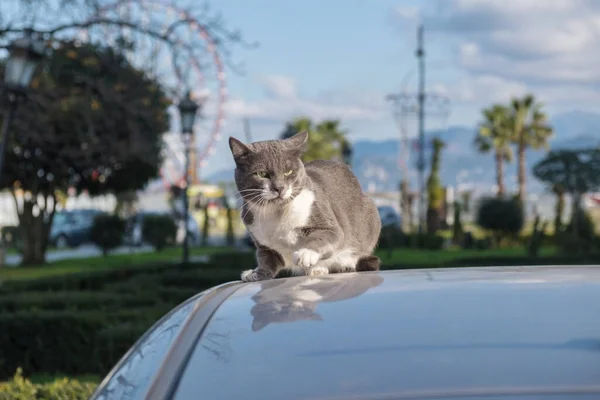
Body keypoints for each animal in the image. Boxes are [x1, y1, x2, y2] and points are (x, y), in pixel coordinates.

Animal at [230, 131, 380, 282]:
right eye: (262, 174)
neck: (278, 212)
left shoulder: (327, 222)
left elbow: (326, 236)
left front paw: (305, 254)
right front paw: (257, 273)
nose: (279, 188)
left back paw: (321, 268)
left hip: (370, 212)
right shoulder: (265, 246)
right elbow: (266, 260)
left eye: (288, 172)